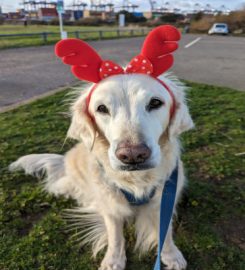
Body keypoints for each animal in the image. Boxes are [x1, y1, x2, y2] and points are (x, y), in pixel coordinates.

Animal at [9, 25, 193, 270]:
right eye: (102, 108)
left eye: (155, 103)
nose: (133, 155)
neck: (136, 181)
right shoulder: (111, 205)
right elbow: (115, 236)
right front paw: (114, 260)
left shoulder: (164, 199)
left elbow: (166, 232)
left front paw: (171, 255)